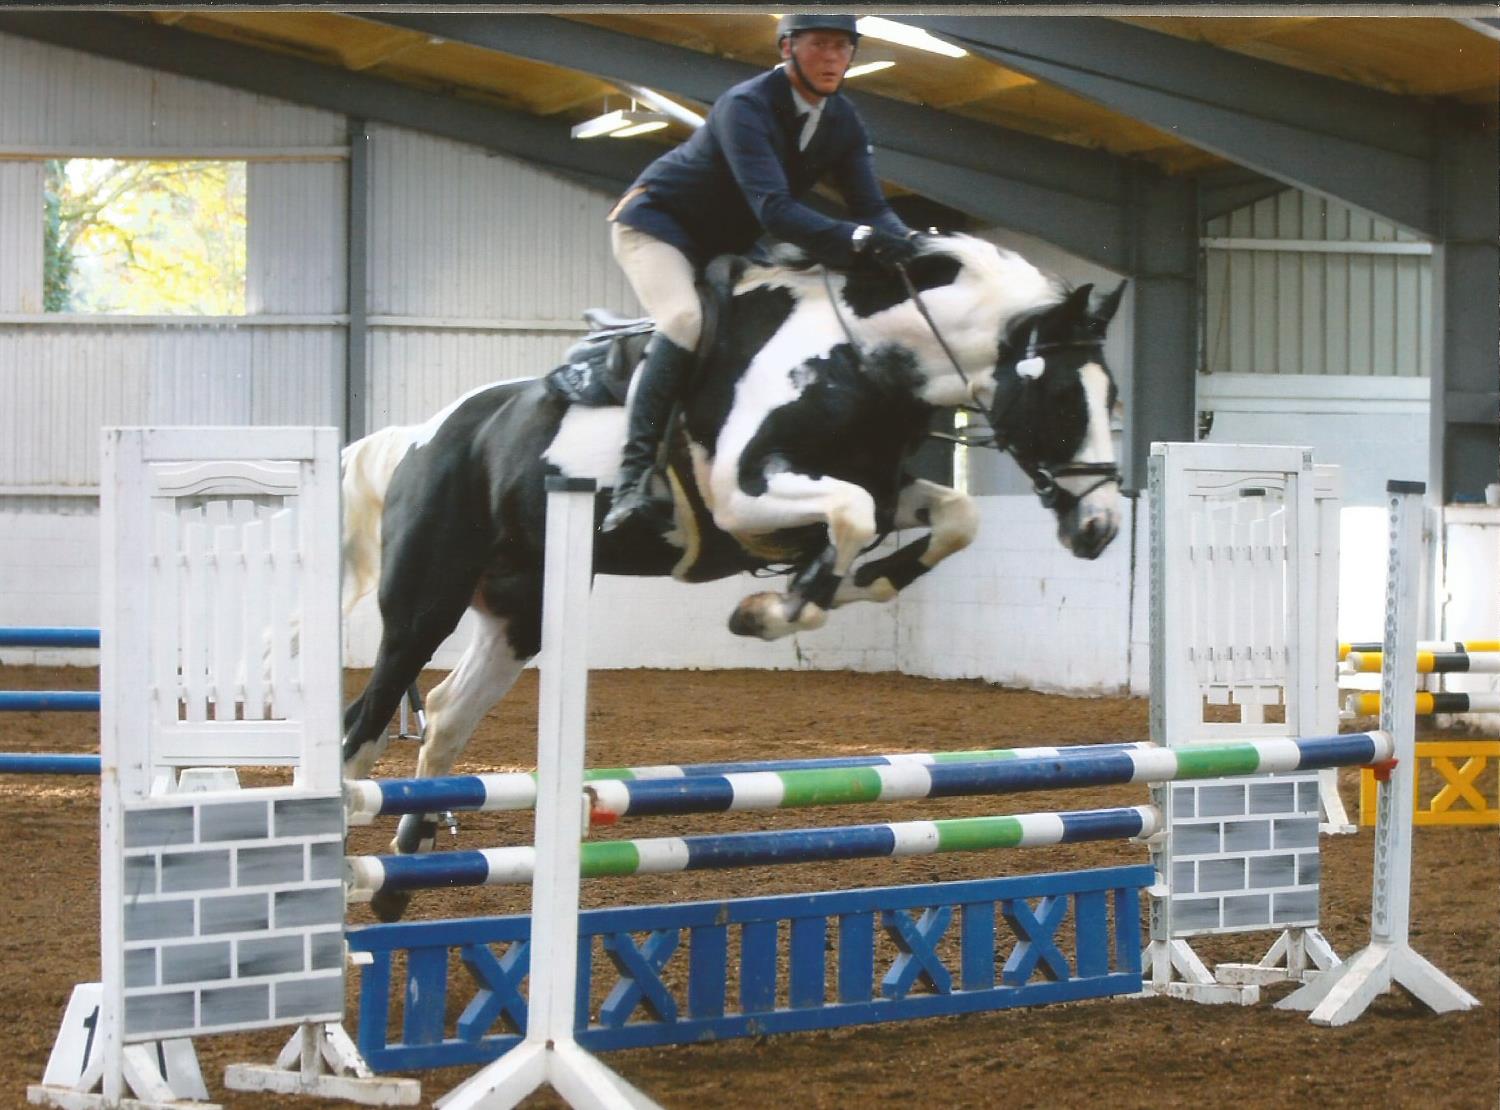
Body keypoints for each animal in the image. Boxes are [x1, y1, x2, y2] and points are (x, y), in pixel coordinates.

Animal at [340, 234, 1128, 918]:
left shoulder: (880, 487)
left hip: (519, 610)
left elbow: (950, 516)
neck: (859, 362)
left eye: (1112, 398)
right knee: (365, 726)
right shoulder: (745, 495)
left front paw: (827, 591)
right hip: (426, 601)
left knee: (446, 715)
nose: (1100, 529)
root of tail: (422, 436)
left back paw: (397, 884)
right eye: (1065, 400)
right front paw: (775, 610)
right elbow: (849, 520)